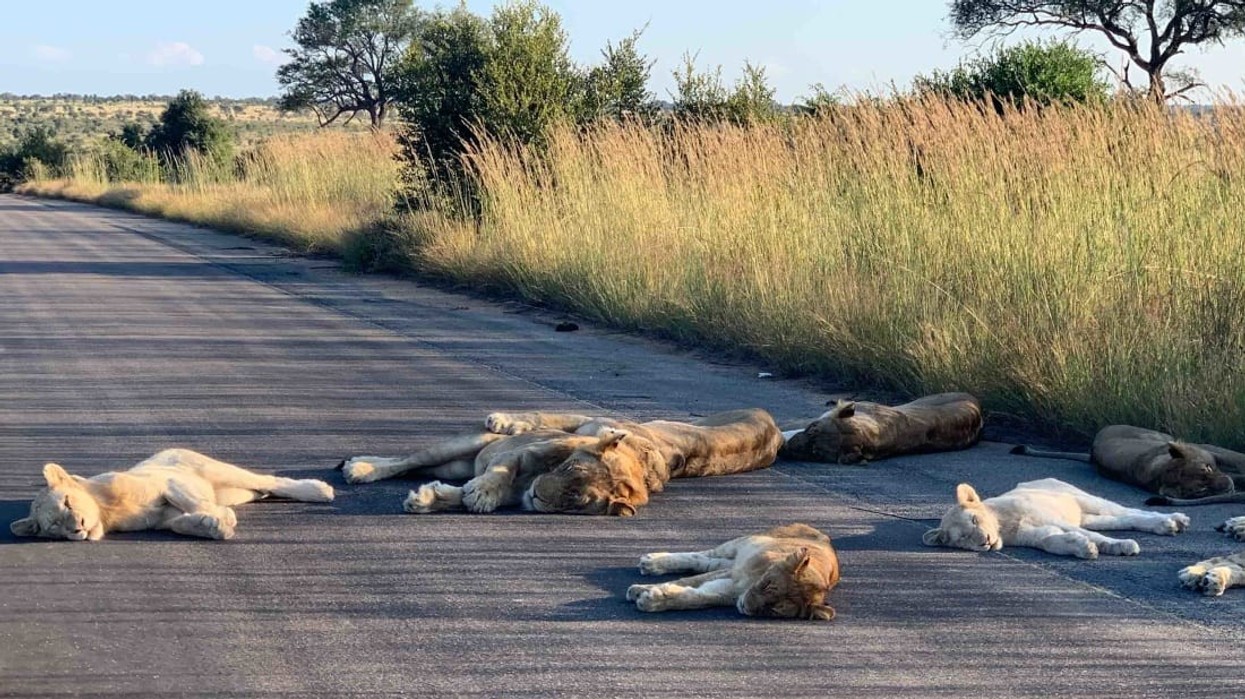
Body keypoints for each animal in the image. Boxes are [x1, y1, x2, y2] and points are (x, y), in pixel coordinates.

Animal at [9, 448, 334, 541]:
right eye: (54, 526)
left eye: (67, 502)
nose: (77, 528)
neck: (107, 513)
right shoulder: (162, 519)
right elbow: (179, 524)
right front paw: (212, 525)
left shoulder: (166, 481)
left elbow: (191, 500)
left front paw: (220, 518)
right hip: (237, 492)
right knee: (259, 489)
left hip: (216, 470)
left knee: (270, 480)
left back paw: (320, 490)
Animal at [625, 523, 840, 620]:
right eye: (767, 584)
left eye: (775, 610)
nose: (746, 606)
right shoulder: (735, 575)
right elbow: (687, 582)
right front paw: (639, 590)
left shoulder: (730, 589)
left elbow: (697, 598)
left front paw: (652, 599)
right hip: (741, 544)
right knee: (701, 556)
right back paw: (652, 562)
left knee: (707, 562)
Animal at [922, 478, 1190, 559]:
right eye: (963, 538)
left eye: (975, 520)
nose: (985, 541)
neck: (1004, 526)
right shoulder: (1037, 535)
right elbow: (1052, 541)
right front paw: (1084, 548)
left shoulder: (1050, 518)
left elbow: (1094, 536)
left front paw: (1121, 546)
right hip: (1088, 516)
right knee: (1122, 520)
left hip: (1083, 498)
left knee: (1131, 512)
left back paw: (1172, 521)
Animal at [1011, 425, 1245, 505]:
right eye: (1201, 490)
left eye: (1207, 468)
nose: (1227, 486)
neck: (1161, 472)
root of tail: (1092, 452)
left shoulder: (1212, 452)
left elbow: (1237, 459)